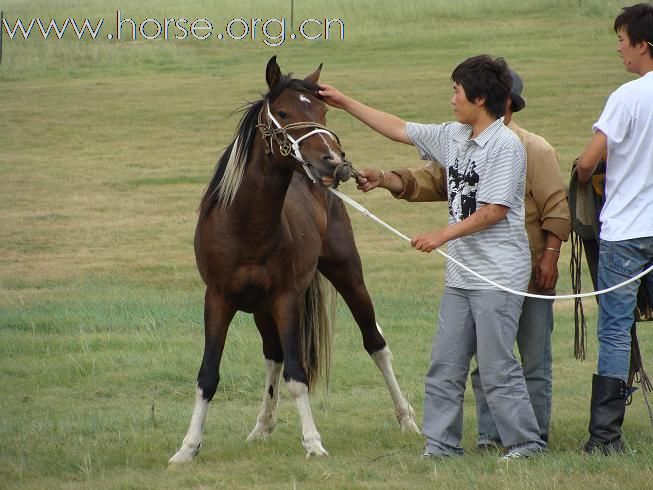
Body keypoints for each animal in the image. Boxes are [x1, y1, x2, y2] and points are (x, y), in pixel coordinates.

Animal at [168, 57, 418, 464]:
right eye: (283, 113)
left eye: (322, 111)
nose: (334, 162)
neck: (245, 227)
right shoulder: (218, 299)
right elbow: (208, 375)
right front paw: (188, 448)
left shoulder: (286, 300)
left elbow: (298, 374)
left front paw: (313, 442)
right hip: (260, 310)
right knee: (273, 356)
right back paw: (262, 426)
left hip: (348, 276)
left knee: (376, 344)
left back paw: (407, 419)